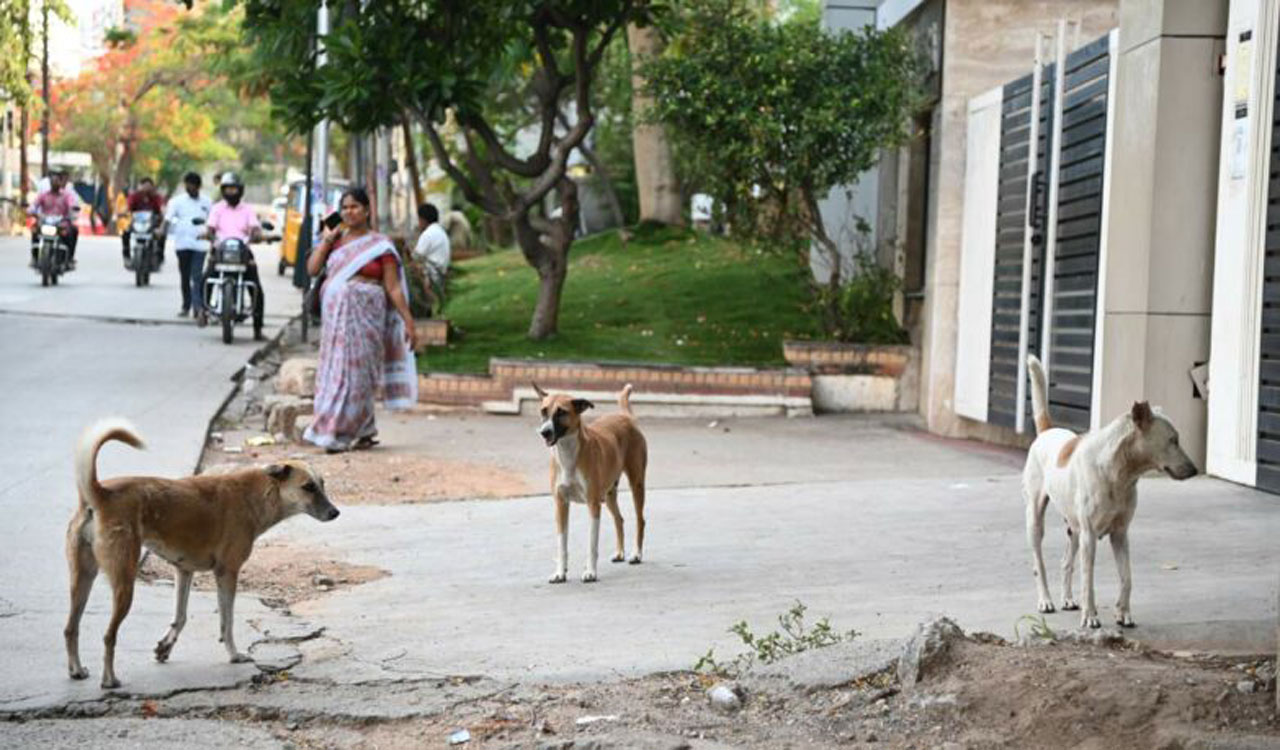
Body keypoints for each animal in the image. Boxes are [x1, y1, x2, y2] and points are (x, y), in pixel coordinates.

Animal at [64, 417, 340, 686]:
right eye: (308, 487)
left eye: (323, 484)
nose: (335, 513)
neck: (259, 492)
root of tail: (101, 494)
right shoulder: (227, 573)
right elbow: (227, 622)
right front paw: (234, 655)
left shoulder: (183, 571)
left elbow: (181, 616)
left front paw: (165, 647)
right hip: (124, 582)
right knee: (108, 635)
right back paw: (109, 680)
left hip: (82, 578)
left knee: (70, 628)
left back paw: (76, 670)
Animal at [532, 381, 645, 581]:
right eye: (543, 411)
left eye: (561, 412)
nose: (544, 432)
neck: (568, 454)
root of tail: (625, 416)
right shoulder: (561, 504)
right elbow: (562, 544)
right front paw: (560, 572)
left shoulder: (593, 504)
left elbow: (592, 544)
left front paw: (590, 572)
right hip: (609, 494)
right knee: (619, 519)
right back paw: (620, 553)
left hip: (637, 484)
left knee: (641, 520)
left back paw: (636, 554)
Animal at [1018, 353, 1198, 627]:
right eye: (1173, 440)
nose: (1195, 470)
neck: (1119, 474)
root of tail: (1047, 430)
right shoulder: (1090, 536)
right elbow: (1088, 581)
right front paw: (1090, 616)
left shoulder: (1121, 534)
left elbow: (1127, 577)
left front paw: (1123, 613)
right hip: (1037, 519)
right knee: (1039, 563)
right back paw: (1046, 601)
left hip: (1074, 529)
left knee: (1065, 562)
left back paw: (1067, 599)